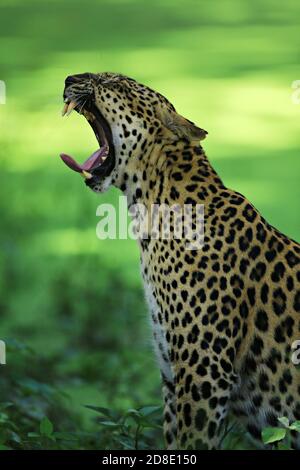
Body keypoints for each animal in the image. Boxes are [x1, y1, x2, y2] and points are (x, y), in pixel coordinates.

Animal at [60, 71, 300, 450]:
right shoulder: (172, 375)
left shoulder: (204, 372)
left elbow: (193, 439)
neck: (147, 208)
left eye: (116, 83)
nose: (69, 78)